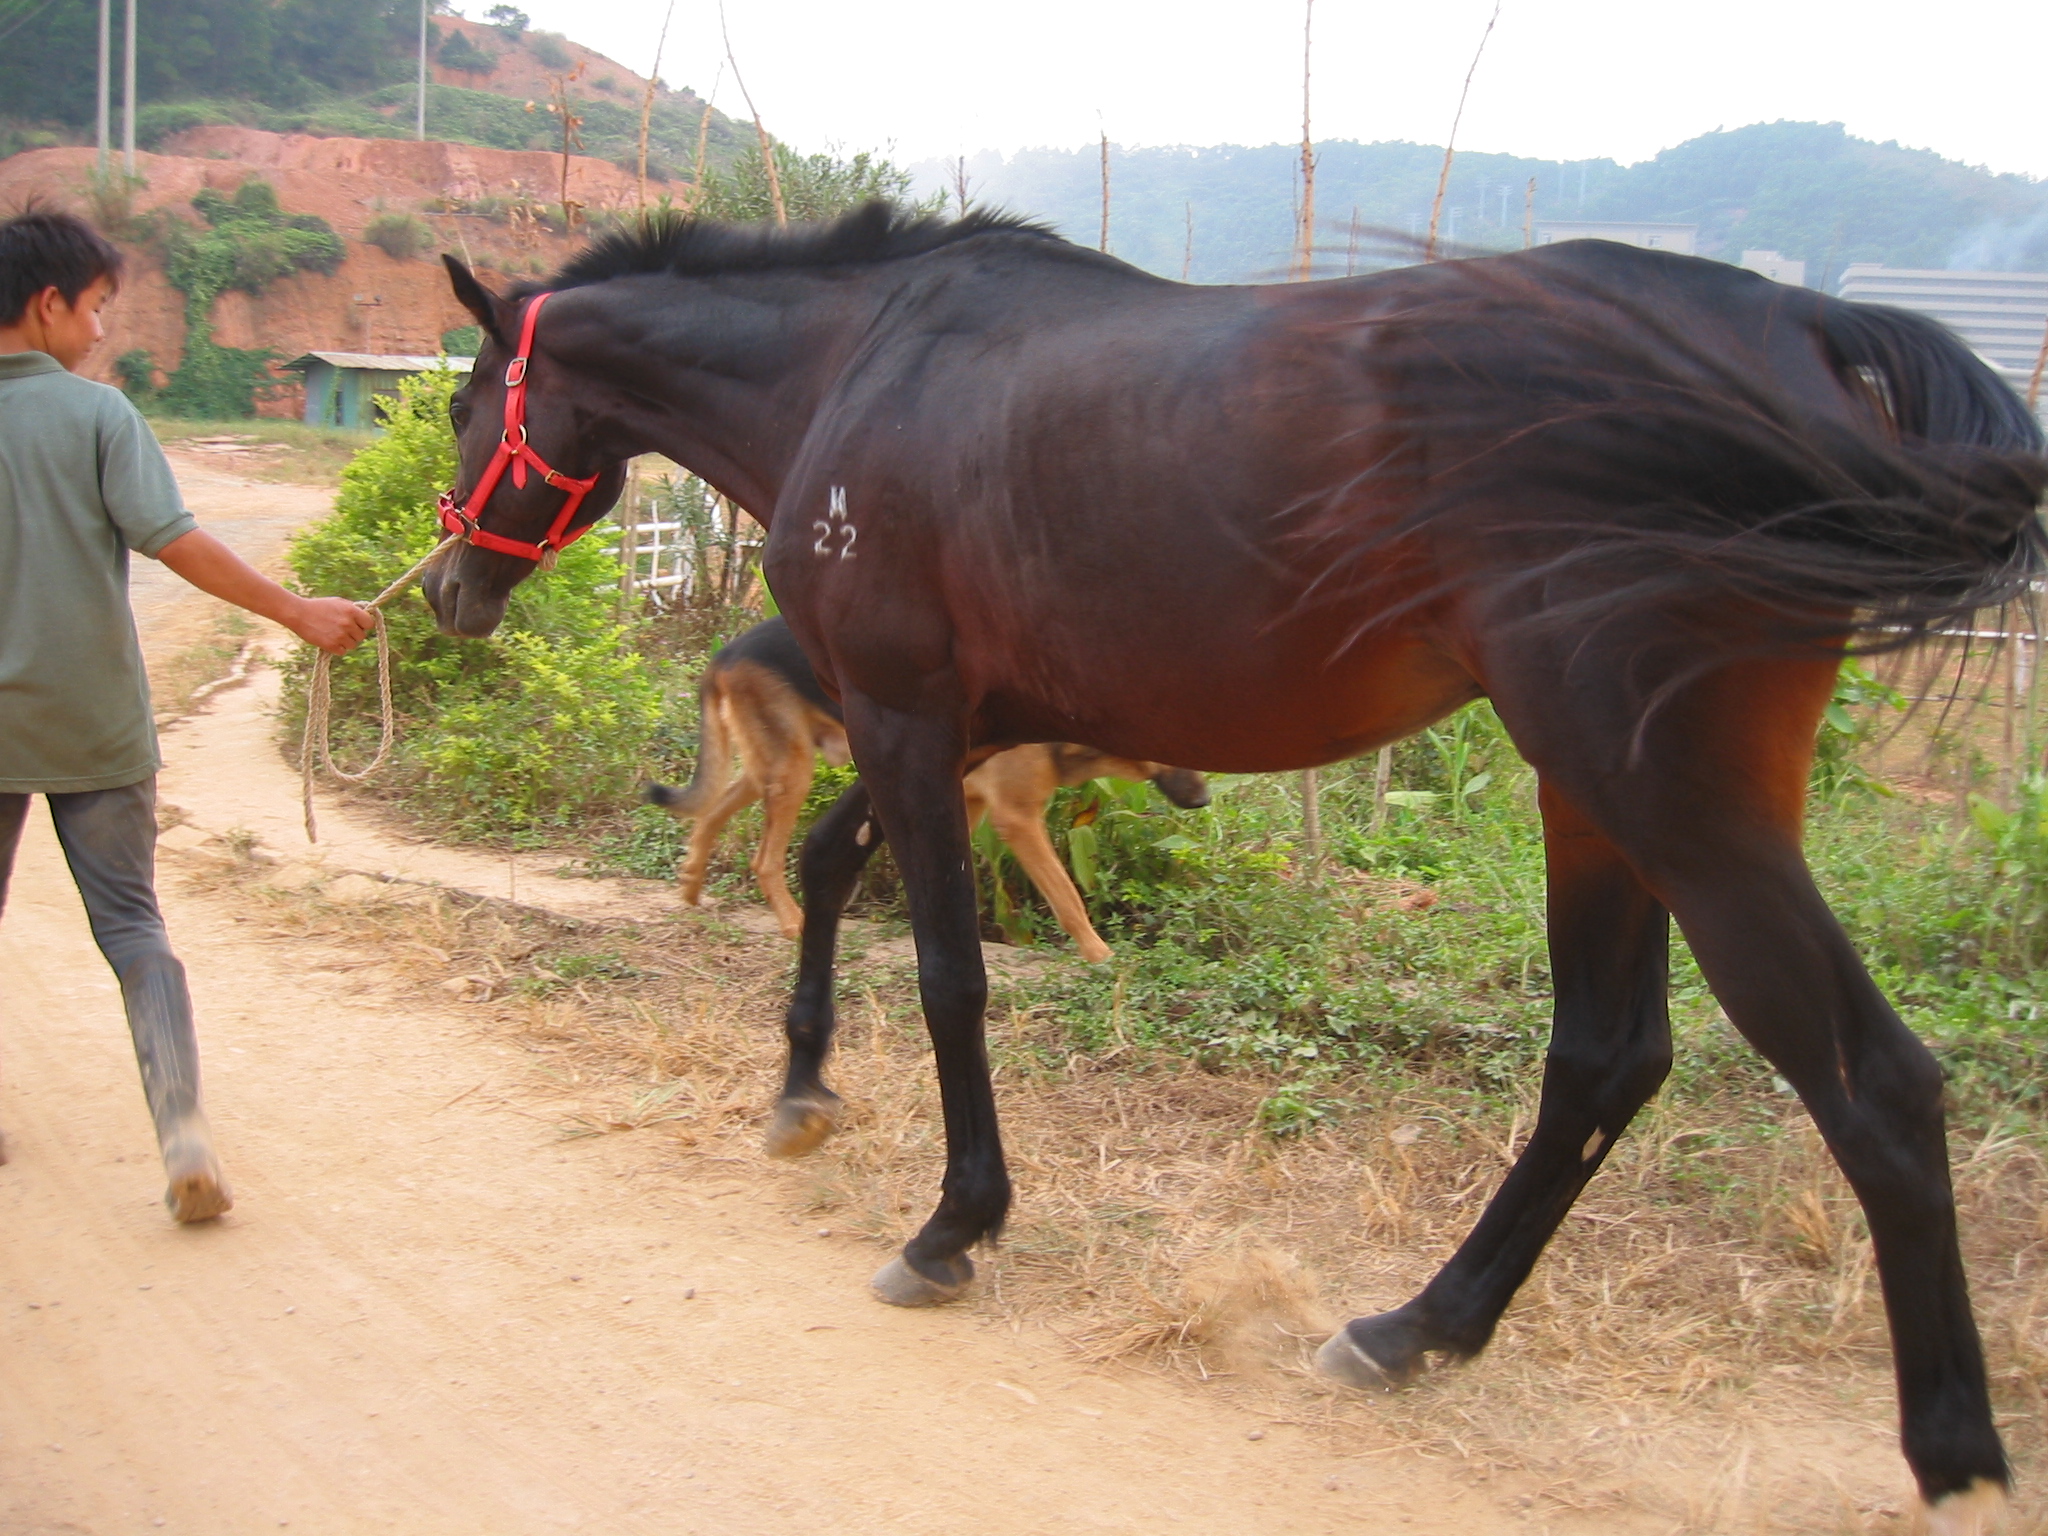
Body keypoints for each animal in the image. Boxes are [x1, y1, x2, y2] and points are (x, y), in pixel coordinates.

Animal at [647, 618, 1204, 958]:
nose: (1203, 802)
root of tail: (729, 650)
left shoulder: (968, 805)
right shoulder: (1017, 819)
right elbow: (1067, 896)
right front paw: (1100, 957)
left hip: (775, 764)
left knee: (711, 809)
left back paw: (691, 886)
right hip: (791, 772)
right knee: (762, 857)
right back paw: (792, 923)